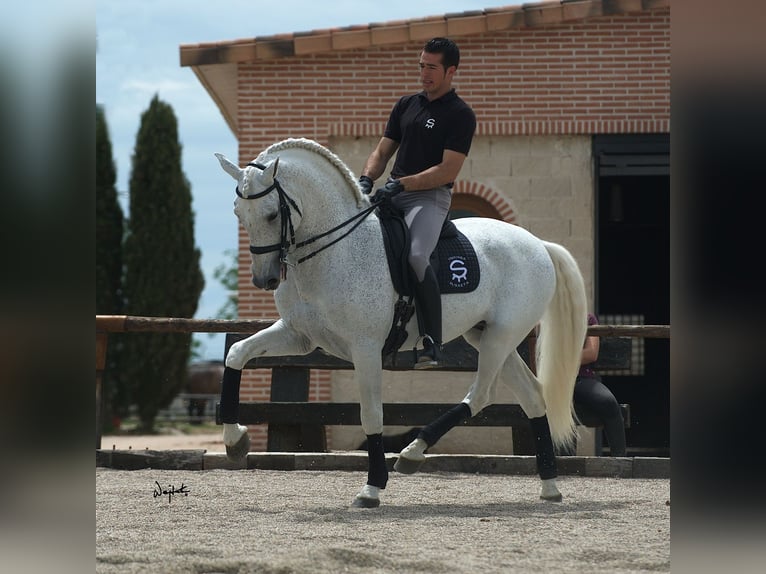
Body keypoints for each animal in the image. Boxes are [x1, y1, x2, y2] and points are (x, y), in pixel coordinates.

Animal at [214, 138, 588, 508]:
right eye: (238, 213)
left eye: (272, 213)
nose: (264, 279)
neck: (334, 251)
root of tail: (538, 244)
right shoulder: (298, 336)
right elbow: (237, 354)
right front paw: (235, 441)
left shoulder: (365, 348)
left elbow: (371, 414)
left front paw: (372, 487)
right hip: (486, 336)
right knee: (532, 396)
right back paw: (549, 486)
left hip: (502, 335)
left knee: (482, 394)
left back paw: (412, 451)